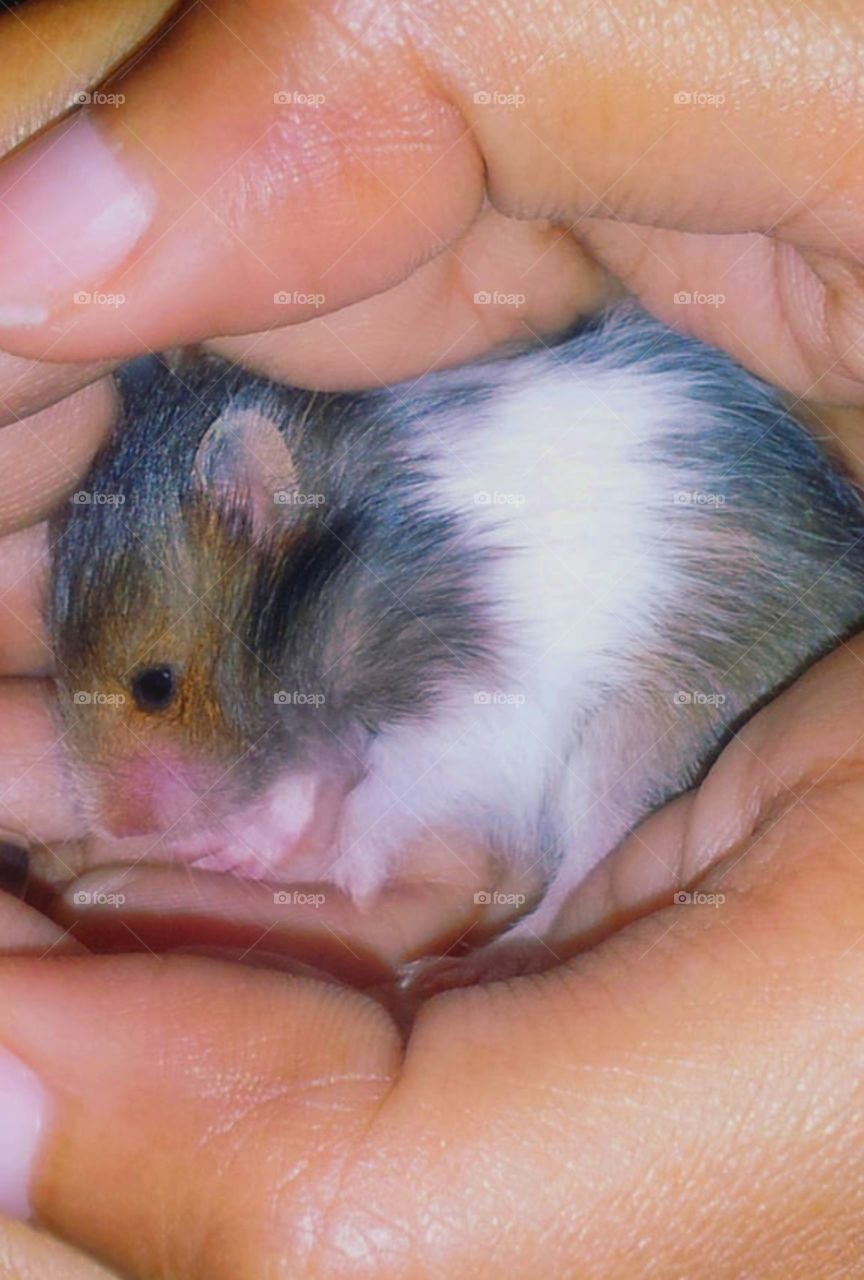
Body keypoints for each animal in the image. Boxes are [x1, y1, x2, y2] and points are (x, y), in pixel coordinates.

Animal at [47, 304, 864, 938]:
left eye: (155, 685)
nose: (108, 828)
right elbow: (303, 784)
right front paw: (241, 851)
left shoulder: (463, 714)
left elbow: (381, 796)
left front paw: (350, 878)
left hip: (636, 735)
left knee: (590, 856)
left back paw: (497, 948)